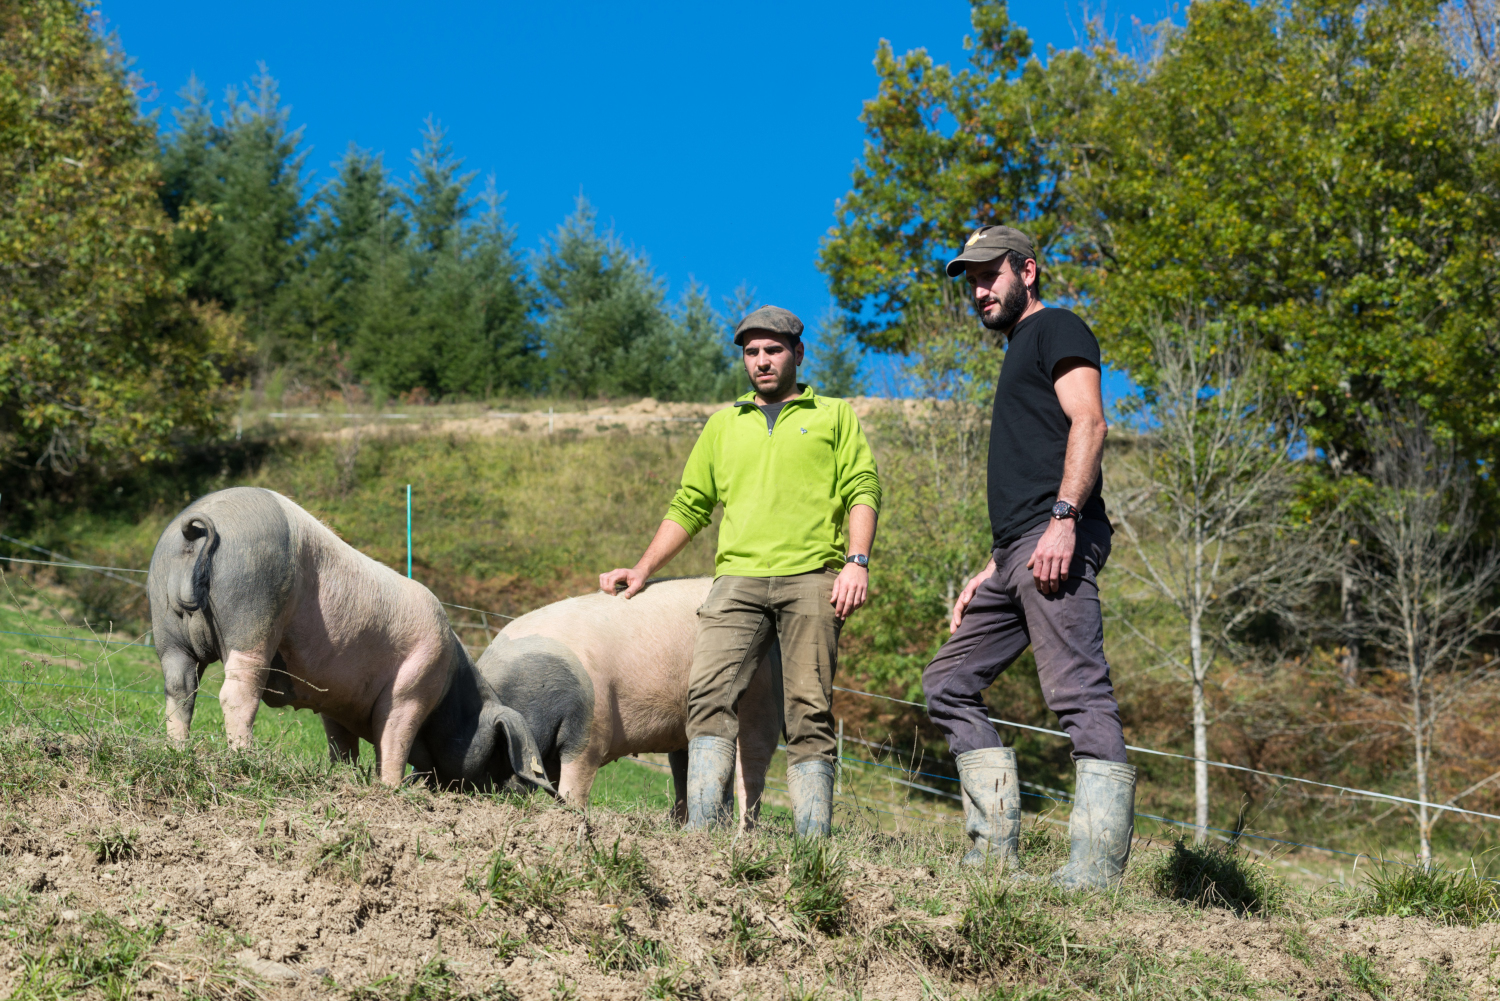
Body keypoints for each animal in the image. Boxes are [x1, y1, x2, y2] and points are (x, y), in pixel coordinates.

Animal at [147, 486, 552, 793]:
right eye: (498, 751)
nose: (511, 792)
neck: (452, 686)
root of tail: (198, 526)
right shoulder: (414, 687)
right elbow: (393, 739)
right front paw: (391, 789)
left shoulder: (334, 702)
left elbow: (341, 745)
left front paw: (345, 776)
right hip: (253, 610)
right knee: (236, 692)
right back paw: (244, 759)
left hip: (167, 630)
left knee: (180, 688)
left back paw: (178, 752)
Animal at [457, 578, 783, 827]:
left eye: (495, 754)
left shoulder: (592, 728)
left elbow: (575, 783)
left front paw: (571, 818)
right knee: (691, 770)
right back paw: (680, 827)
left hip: (761, 700)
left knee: (753, 767)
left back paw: (741, 836)